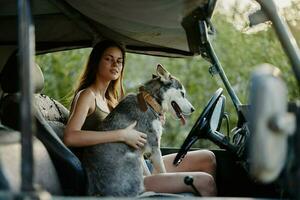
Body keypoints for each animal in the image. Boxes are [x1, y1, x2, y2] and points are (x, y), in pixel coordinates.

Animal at [82, 64, 195, 197]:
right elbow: (163, 172)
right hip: (133, 159)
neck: (150, 103)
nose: (193, 109)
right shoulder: (154, 148)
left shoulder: (141, 151)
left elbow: (148, 173)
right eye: (182, 93)